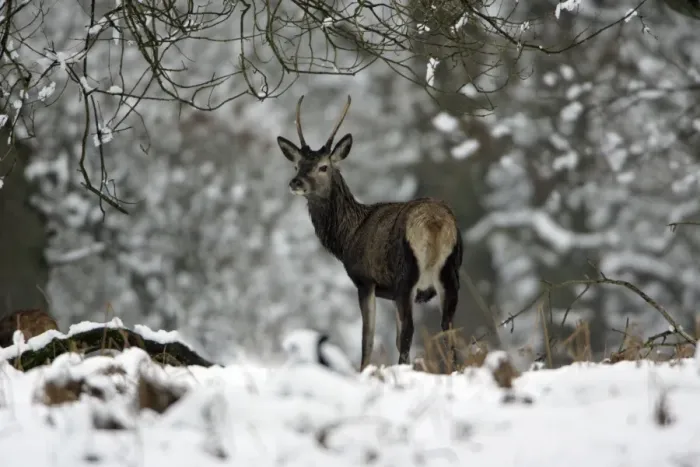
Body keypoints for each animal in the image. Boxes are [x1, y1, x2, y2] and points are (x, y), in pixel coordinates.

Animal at [276, 95, 464, 371]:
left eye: (323, 167)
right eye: (297, 165)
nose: (296, 182)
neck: (347, 236)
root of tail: (435, 222)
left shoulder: (365, 280)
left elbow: (368, 340)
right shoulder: (392, 292)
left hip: (406, 274)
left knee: (410, 332)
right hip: (450, 275)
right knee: (448, 332)